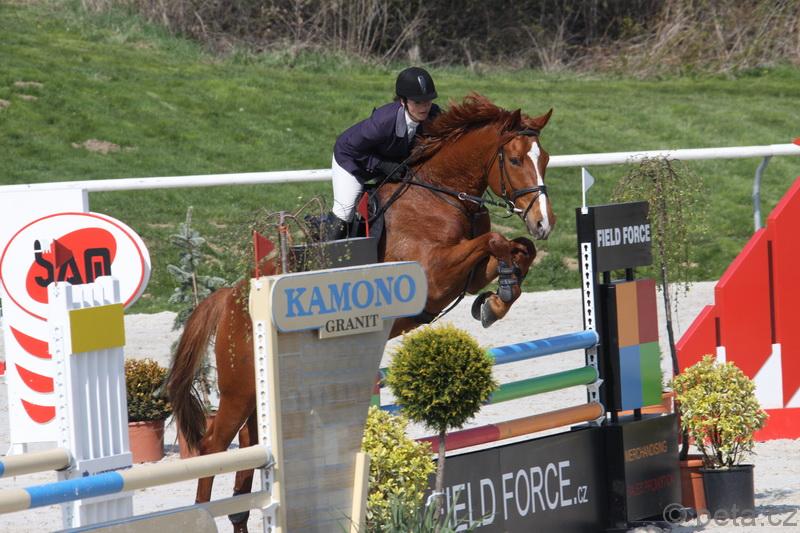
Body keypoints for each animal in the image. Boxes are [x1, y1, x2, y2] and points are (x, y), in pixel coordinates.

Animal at [166, 93, 554, 532]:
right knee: (213, 444)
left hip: (256, 390)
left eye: (546, 159)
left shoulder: (467, 274)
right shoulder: (434, 276)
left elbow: (516, 248)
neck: (442, 194)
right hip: (239, 387)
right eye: (516, 159)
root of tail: (231, 296)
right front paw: (497, 295)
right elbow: (496, 241)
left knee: (249, 453)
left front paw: (496, 299)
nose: (544, 223)